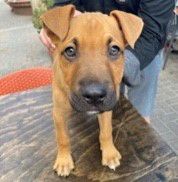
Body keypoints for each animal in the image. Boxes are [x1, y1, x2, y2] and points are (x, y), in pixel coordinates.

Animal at [40, 4, 143, 176]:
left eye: (114, 50)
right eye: (70, 51)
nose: (94, 96)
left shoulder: (106, 107)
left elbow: (106, 132)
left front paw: (109, 153)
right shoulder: (58, 113)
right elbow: (63, 138)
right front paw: (63, 160)